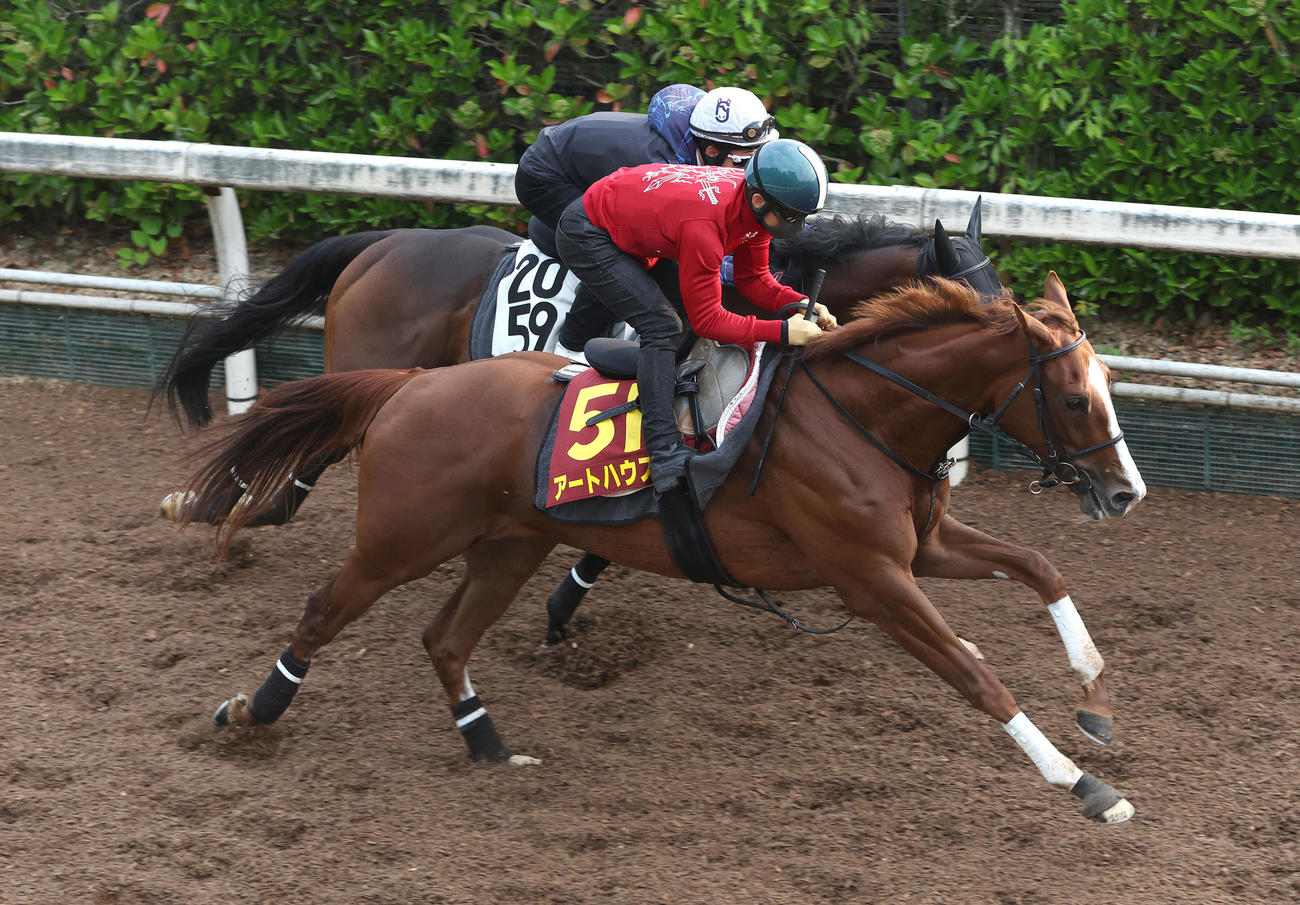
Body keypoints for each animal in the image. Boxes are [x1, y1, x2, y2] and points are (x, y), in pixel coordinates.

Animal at [158, 200, 1005, 642]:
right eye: (981, 308)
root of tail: (385, 241)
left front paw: (565, 603)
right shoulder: (669, 422)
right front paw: (563, 606)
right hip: (371, 360)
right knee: (297, 454)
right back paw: (203, 505)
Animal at [177, 273, 1146, 824]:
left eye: (1105, 381)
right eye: (1071, 396)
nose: (1126, 491)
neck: (864, 415)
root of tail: (410, 384)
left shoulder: (923, 544)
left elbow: (1041, 568)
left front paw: (1096, 698)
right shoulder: (870, 577)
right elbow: (977, 676)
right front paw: (1080, 783)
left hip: (508, 544)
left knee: (445, 639)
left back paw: (491, 747)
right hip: (401, 538)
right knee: (324, 612)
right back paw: (251, 712)